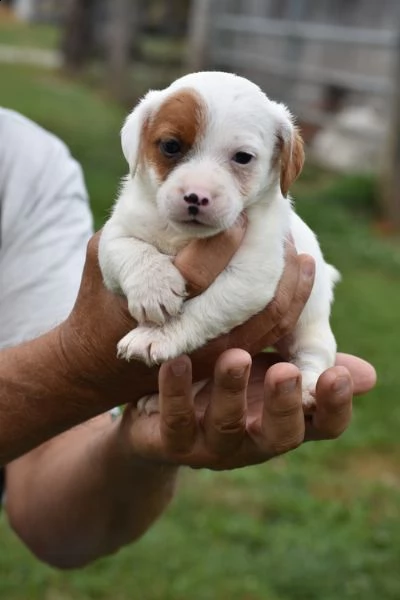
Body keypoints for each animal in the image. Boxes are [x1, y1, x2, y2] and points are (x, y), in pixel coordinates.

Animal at [98, 68, 340, 410]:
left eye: (243, 157)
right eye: (171, 146)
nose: (196, 197)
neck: (185, 236)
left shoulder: (249, 278)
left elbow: (201, 309)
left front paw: (156, 336)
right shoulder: (114, 236)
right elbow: (133, 251)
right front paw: (153, 288)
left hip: (311, 326)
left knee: (314, 354)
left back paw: (306, 386)